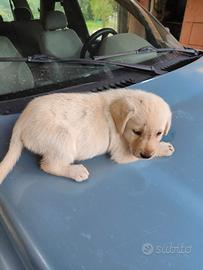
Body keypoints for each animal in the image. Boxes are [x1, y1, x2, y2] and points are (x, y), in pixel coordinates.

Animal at [0, 88, 174, 184]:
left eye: (159, 133)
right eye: (136, 132)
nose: (146, 155)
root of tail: (20, 122)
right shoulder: (123, 154)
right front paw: (164, 148)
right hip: (62, 138)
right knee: (49, 165)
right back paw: (76, 171)